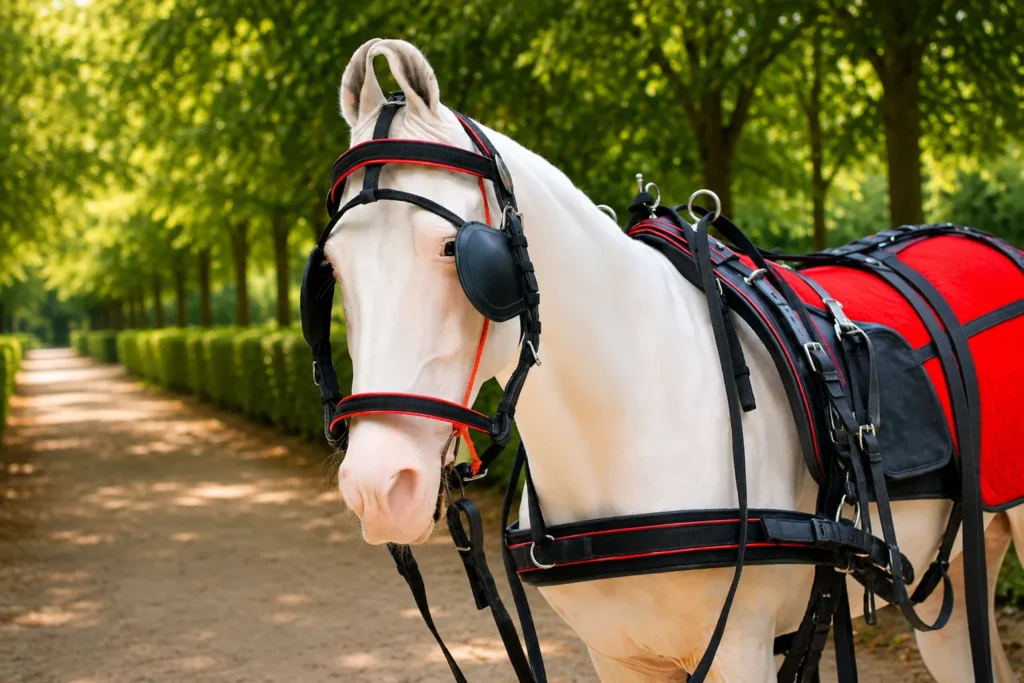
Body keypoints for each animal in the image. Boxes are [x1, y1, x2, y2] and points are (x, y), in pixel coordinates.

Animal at [325, 38, 1024, 682]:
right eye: (332, 264)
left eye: (453, 248)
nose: (377, 486)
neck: (631, 412)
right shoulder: (618, 656)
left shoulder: (740, 647)